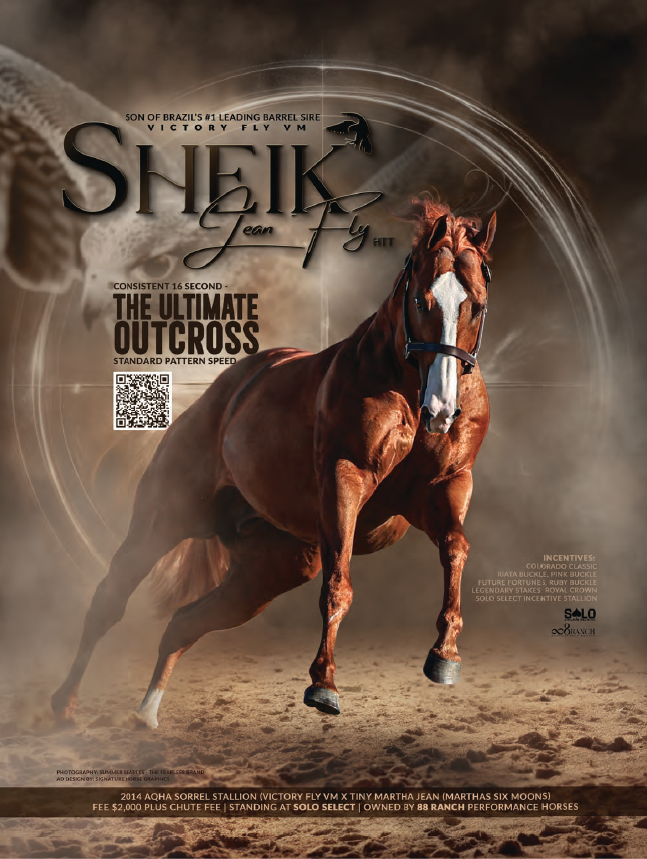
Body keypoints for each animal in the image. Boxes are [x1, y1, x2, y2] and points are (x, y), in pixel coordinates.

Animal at [51, 199, 496, 727]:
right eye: (423, 301)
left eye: (477, 305)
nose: (442, 410)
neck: (403, 388)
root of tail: (224, 395)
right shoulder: (344, 483)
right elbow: (339, 586)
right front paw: (323, 687)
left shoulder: (445, 487)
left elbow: (456, 550)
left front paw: (444, 657)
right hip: (164, 521)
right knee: (109, 601)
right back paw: (65, 706)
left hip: (269, 569)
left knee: (185, 623)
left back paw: (146, 717)